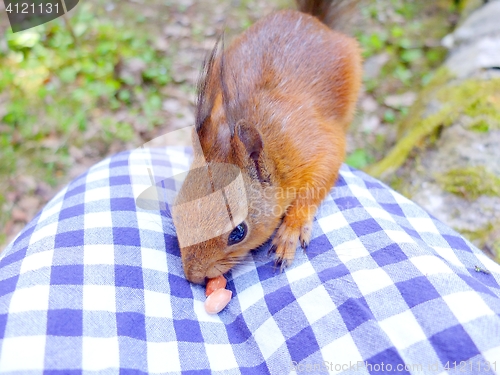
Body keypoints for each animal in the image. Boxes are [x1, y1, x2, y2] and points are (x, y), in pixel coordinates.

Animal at [172, 0, 360, 284]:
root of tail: (311, 19)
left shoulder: (318, 146)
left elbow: (319, 180)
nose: (193, 276)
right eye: (177, 210)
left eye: (238, 232)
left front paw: (291, 230)